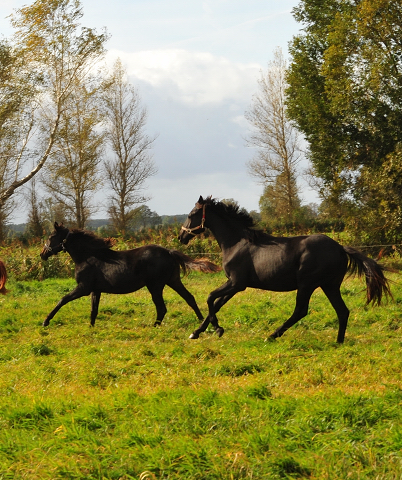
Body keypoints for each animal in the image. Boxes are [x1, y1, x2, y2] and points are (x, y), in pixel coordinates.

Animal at [40, 223, 220, 328]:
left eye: (51, 237)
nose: (42, 254)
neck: (88, 257)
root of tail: (169, 251)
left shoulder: (83, 288)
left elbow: (62, 299)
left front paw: (46, 321)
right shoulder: (95, 290)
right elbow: (93, 310)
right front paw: (91, 328)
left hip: (155, 286)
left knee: (162, 307)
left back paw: (154, 326)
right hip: (173, 280)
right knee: (189, 298)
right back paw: (201, 322)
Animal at [180, 197, 392, 344]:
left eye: (191, 215)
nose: (181, 236)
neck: (237, 243)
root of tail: (340, 247)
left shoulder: (236, 283)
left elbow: (210, 298)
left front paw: (217, 329)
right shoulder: (235, 285)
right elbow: (216, 304)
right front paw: (196, 333)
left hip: (307, 284)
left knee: (300, 311)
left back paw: (272, 335)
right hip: (330, 286)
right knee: (342, 311)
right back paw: (339, 341)